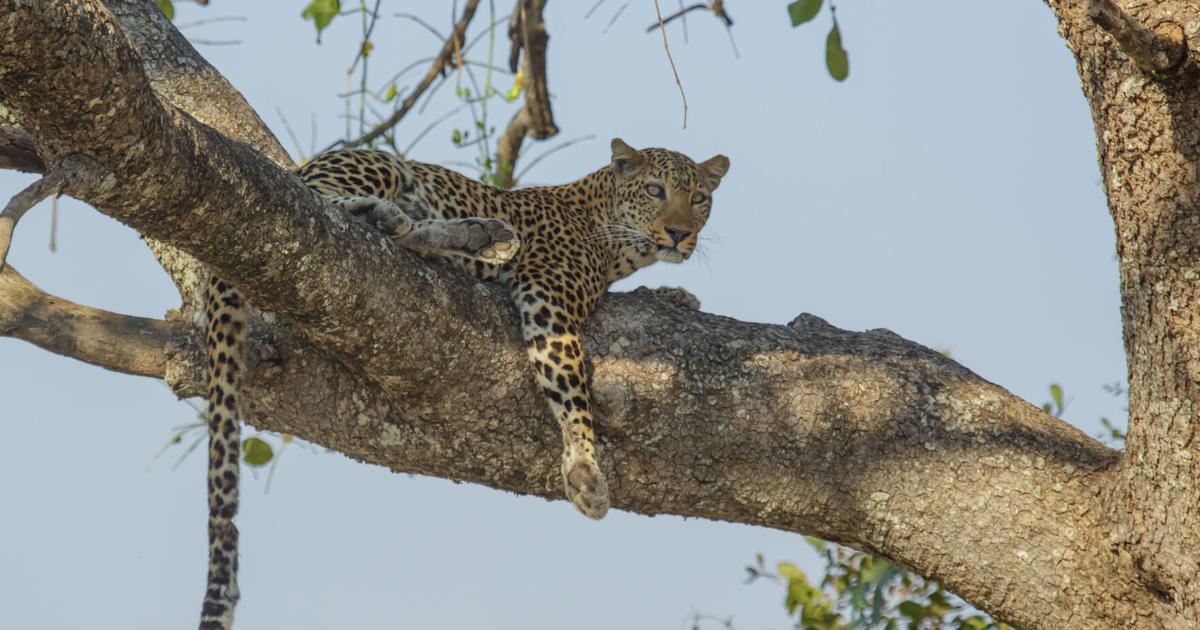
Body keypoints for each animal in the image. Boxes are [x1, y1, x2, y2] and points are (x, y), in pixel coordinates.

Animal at [197, 138, 728, 629]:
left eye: (699, 198)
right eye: (656, 190)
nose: (680, 234)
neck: (615, 242)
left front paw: (678, 296)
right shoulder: (549, 301)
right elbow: (570, 380)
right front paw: (584, 468)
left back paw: (474, 234)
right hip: (378, 165)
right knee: (324, 204)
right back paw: (424, 224)